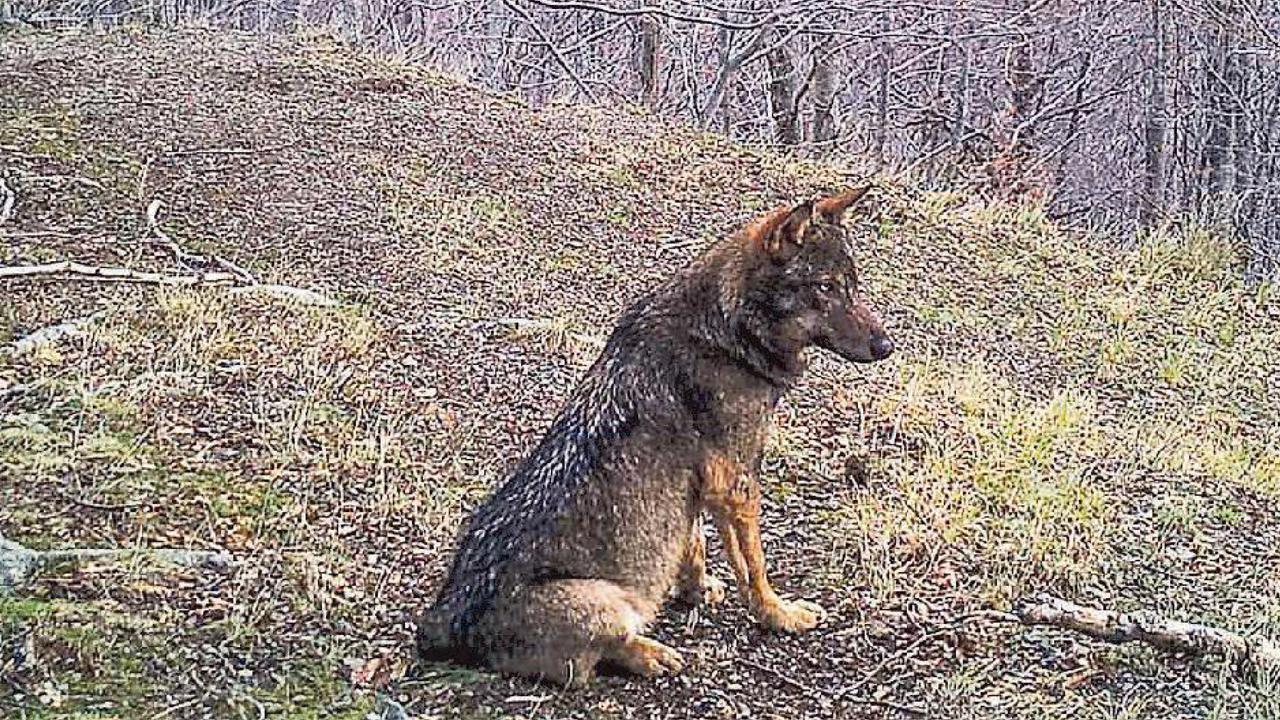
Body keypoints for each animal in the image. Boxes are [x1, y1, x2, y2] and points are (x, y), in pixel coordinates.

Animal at [416, 187, 894, 685]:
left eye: (852, 285)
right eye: (825, 287)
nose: (887, 346)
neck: (728, 331)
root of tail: (441, 623)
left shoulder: (698, 488)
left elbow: (693, 543)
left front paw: (697, 590)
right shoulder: (738, 486)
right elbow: (754, 569)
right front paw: (778, 616)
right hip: (606, 601)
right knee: (601, 657)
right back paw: (655, 655)